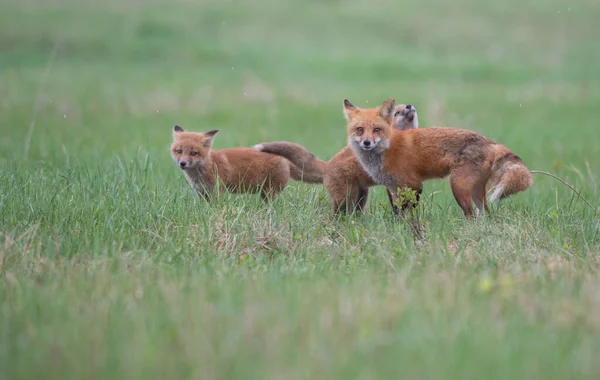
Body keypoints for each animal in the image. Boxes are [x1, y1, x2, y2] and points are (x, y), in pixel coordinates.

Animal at [171, 125, 322, 202]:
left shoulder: (218, 191)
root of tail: (283, 159)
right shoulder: (202, 193)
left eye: (193, 153)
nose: (182, 163)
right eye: (179, 151)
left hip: (269, 192)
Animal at [253, 103, 418, 214]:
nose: (409, 106)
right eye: (397, 112)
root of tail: (328, 165)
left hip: (361, 197)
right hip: (344, 198)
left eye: (407, 105)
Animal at [344, 97, 532, 220]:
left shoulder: (414, 184)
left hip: (458, 186)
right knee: (485, 214)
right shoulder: (393, 188)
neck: (386, 149)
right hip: (476, 191)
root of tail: (488, 141)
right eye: (360, 129)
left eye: (377, 130)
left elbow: (409, 210)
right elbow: (398, 212)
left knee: (470, 215)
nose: (367, 142)